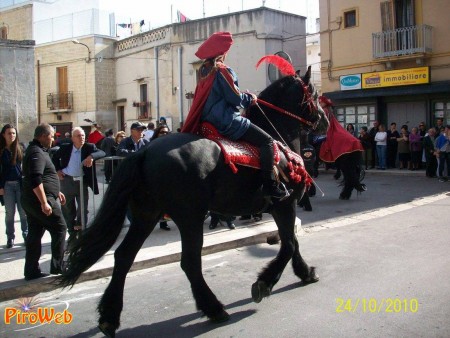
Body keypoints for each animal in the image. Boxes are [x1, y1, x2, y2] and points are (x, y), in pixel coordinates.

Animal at [59, 66, 326, 338]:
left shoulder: (281, 208)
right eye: (314, 94)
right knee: (189, 262)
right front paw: (264, 283)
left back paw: (109, 317)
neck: (277, 138)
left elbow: (292, 242)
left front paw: (305, 273)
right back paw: (214, 308)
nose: (325, 120)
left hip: (146, 215)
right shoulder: (285, 204)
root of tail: (143, 151)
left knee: (124, 256)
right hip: (190, 217)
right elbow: (289, 245)